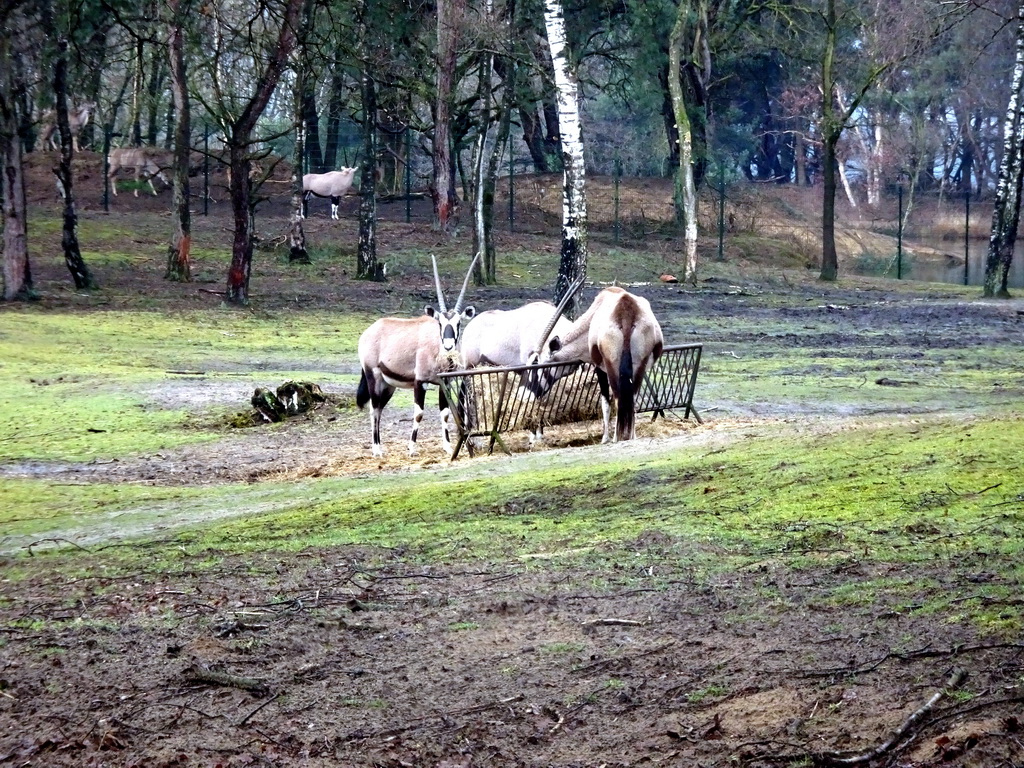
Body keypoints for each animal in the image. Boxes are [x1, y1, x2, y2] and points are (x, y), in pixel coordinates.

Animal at [356, 253, 479, 456]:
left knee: (379, 409)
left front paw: (447, 446)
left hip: (388, 385)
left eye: (458, 323)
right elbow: (419, 413)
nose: (448, 345)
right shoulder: (419, 382)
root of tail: (369, 331)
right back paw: (376, 449)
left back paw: (380, 447)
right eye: (440, 323)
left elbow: (445, 413)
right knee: (373, 409)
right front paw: (412, 448)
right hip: (372, 375)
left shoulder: (444, 383)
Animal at [528, 282, 663, 442]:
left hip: (612, 366)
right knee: (631, 397)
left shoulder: (599, 368)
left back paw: (616, 438)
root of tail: (626, 309)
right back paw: (631, 436)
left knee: (617, 397)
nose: (530, 394)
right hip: (639, 364)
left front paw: (605, 438)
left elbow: (605, 402)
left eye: (536, 363)